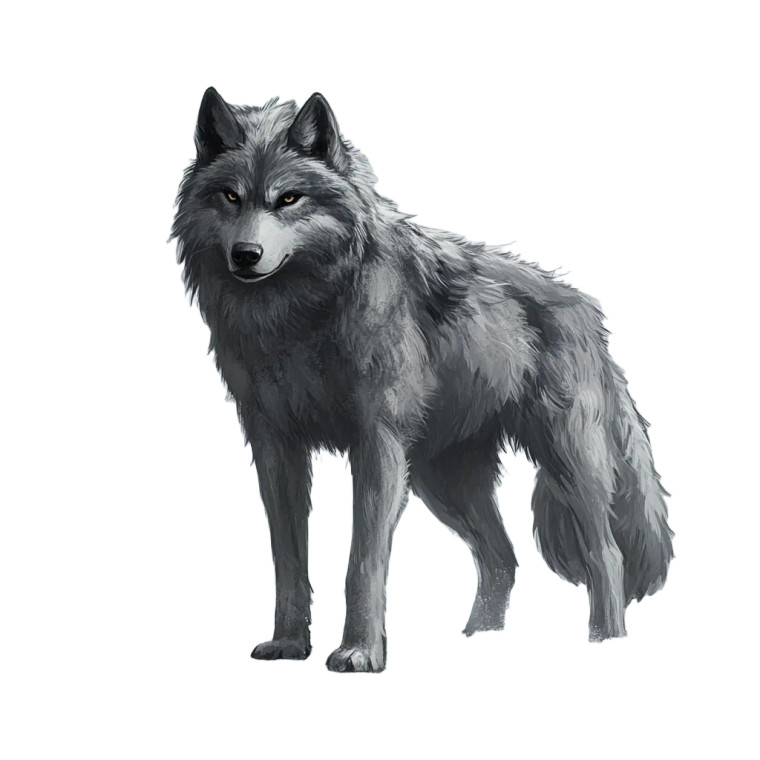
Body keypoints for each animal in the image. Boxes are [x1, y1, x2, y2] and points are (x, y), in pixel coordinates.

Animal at [171, 88, 673, 673]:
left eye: (289, 199)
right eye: (230, 196)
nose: (245, 256)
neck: (302, 315)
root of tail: (588, 311)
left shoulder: (377, 444)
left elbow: (362, 562)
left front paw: (360, 652)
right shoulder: (275, 447)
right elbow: (288, 561)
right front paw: (289, 644)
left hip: (563, 464)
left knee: (605, 555)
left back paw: (604, 643)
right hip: (446, 482)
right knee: (502, 559)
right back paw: (479, 643)